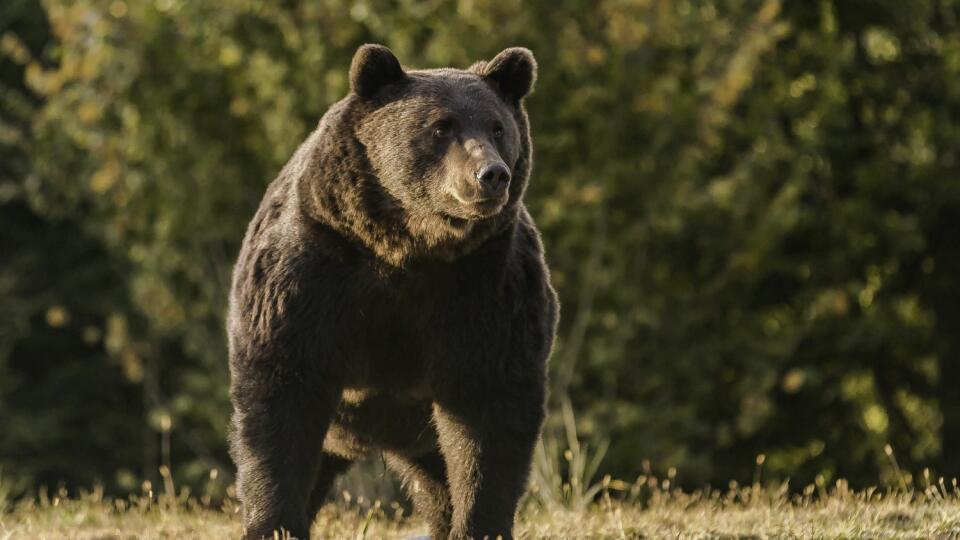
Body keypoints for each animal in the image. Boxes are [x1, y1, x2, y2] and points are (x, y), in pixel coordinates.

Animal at [229, 43, 560, 540]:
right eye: (441, 126)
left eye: (498, 127)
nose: (491, 175)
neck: (408, 245)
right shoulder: (312, 272)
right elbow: (280, 397)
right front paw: (274, 524)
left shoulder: (486, 287)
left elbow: (490, 412)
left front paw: (479, 523)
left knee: (438, 480)